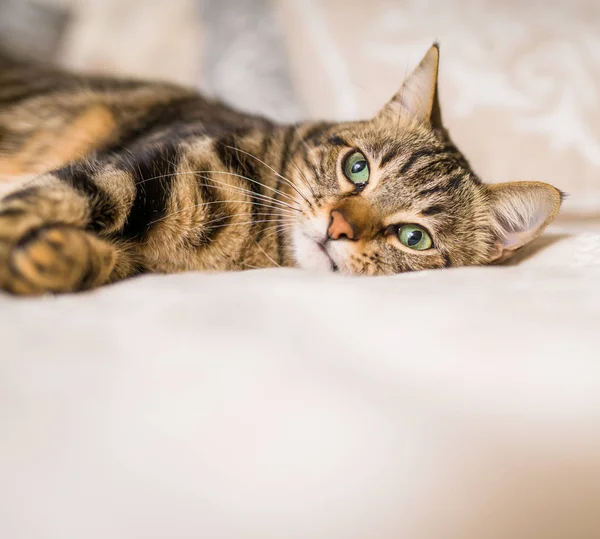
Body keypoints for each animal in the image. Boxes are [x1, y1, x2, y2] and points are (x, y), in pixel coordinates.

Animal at [0, 44, 564, 296]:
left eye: (414, 237)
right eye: (357, 168)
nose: (338, 227)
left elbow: (101, 256)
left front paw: (52, 258)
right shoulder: (134, 169)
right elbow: (48, 198)